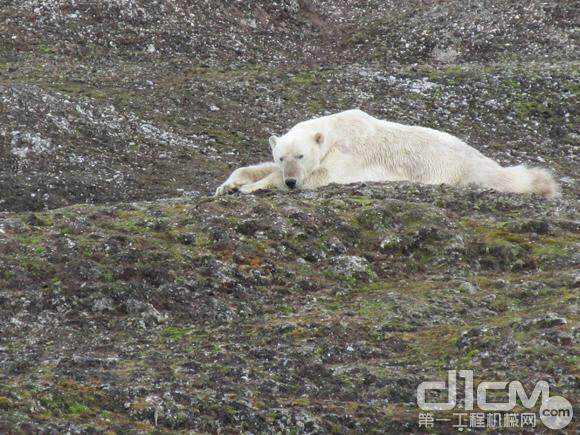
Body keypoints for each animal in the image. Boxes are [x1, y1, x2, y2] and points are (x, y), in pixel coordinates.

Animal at [215, 109, 560, 199]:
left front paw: (251, 187)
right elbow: (257, 167)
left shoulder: (350, 155)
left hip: (454, 166)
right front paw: (229, 184)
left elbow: (324, 176)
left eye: (300, 156)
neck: (334, 131)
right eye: (281, 156)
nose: (291, 182)